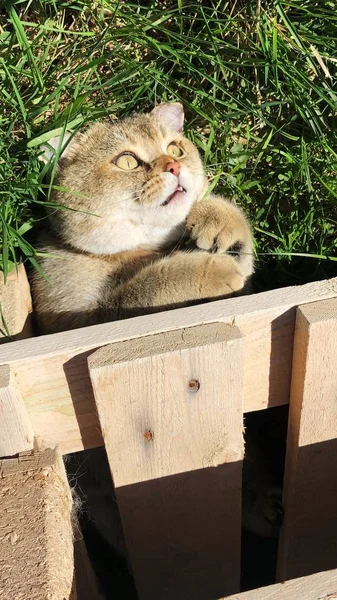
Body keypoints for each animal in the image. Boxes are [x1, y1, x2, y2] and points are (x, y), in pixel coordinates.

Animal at [30, 104, 252, 338]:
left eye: (175, 150)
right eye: (127, 161)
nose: (175, 166)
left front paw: (220, 220)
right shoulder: (77, 318)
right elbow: (146, 287)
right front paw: (211, 271)